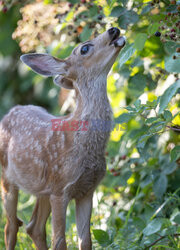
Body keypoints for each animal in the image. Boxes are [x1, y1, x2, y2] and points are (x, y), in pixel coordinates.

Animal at [0, 26, 126, 249]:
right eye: (84, 48)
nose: (113, 29)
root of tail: (10, 112)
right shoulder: (61, 190)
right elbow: (60, 241)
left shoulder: (86, 189)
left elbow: (85, 240)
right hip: (7, 178)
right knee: (11, 227)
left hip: (42, 189)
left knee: (34, 227)